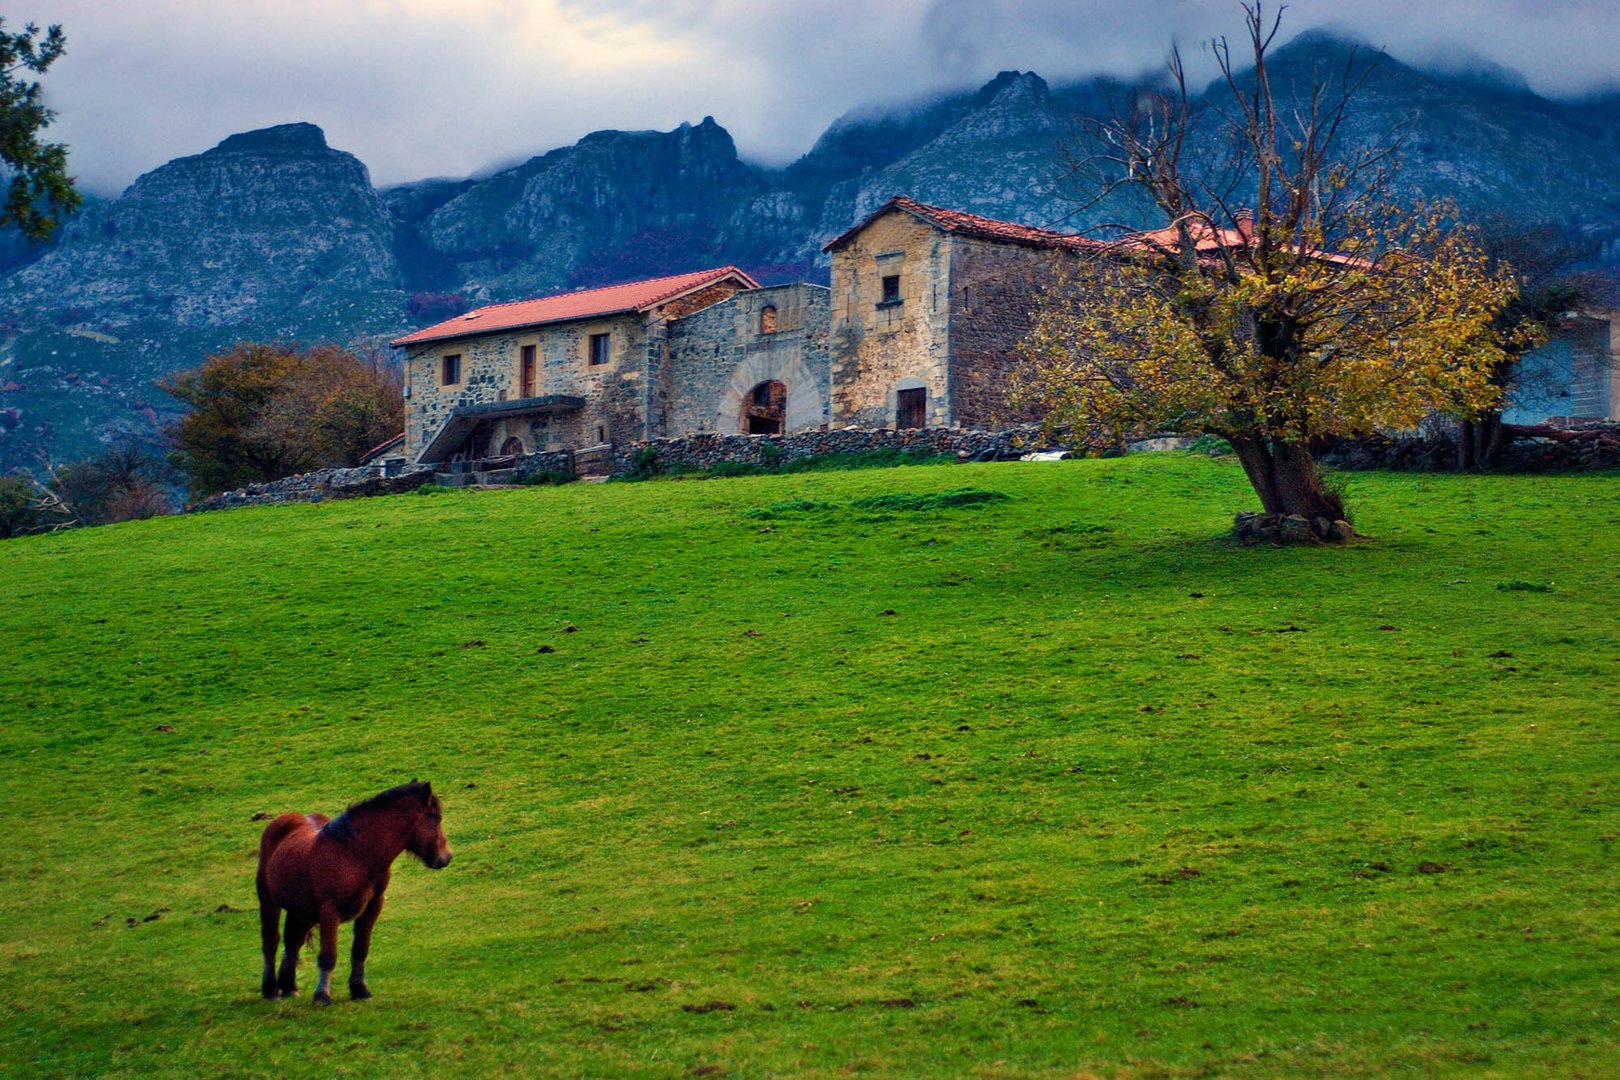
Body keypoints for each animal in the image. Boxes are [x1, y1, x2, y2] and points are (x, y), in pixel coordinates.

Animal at [255, 777, 453, 1003]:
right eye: (435, 818)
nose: (446, 857)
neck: (356, 855)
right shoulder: (329, 911)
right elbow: (328, 954)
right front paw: (322, 995)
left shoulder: (373, 906)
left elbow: (360, 949)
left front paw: (359, 989)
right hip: (269, 901)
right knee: (271, 941)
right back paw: (271, 989)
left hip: (301, 910)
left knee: (292, 943)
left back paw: (289, 987)